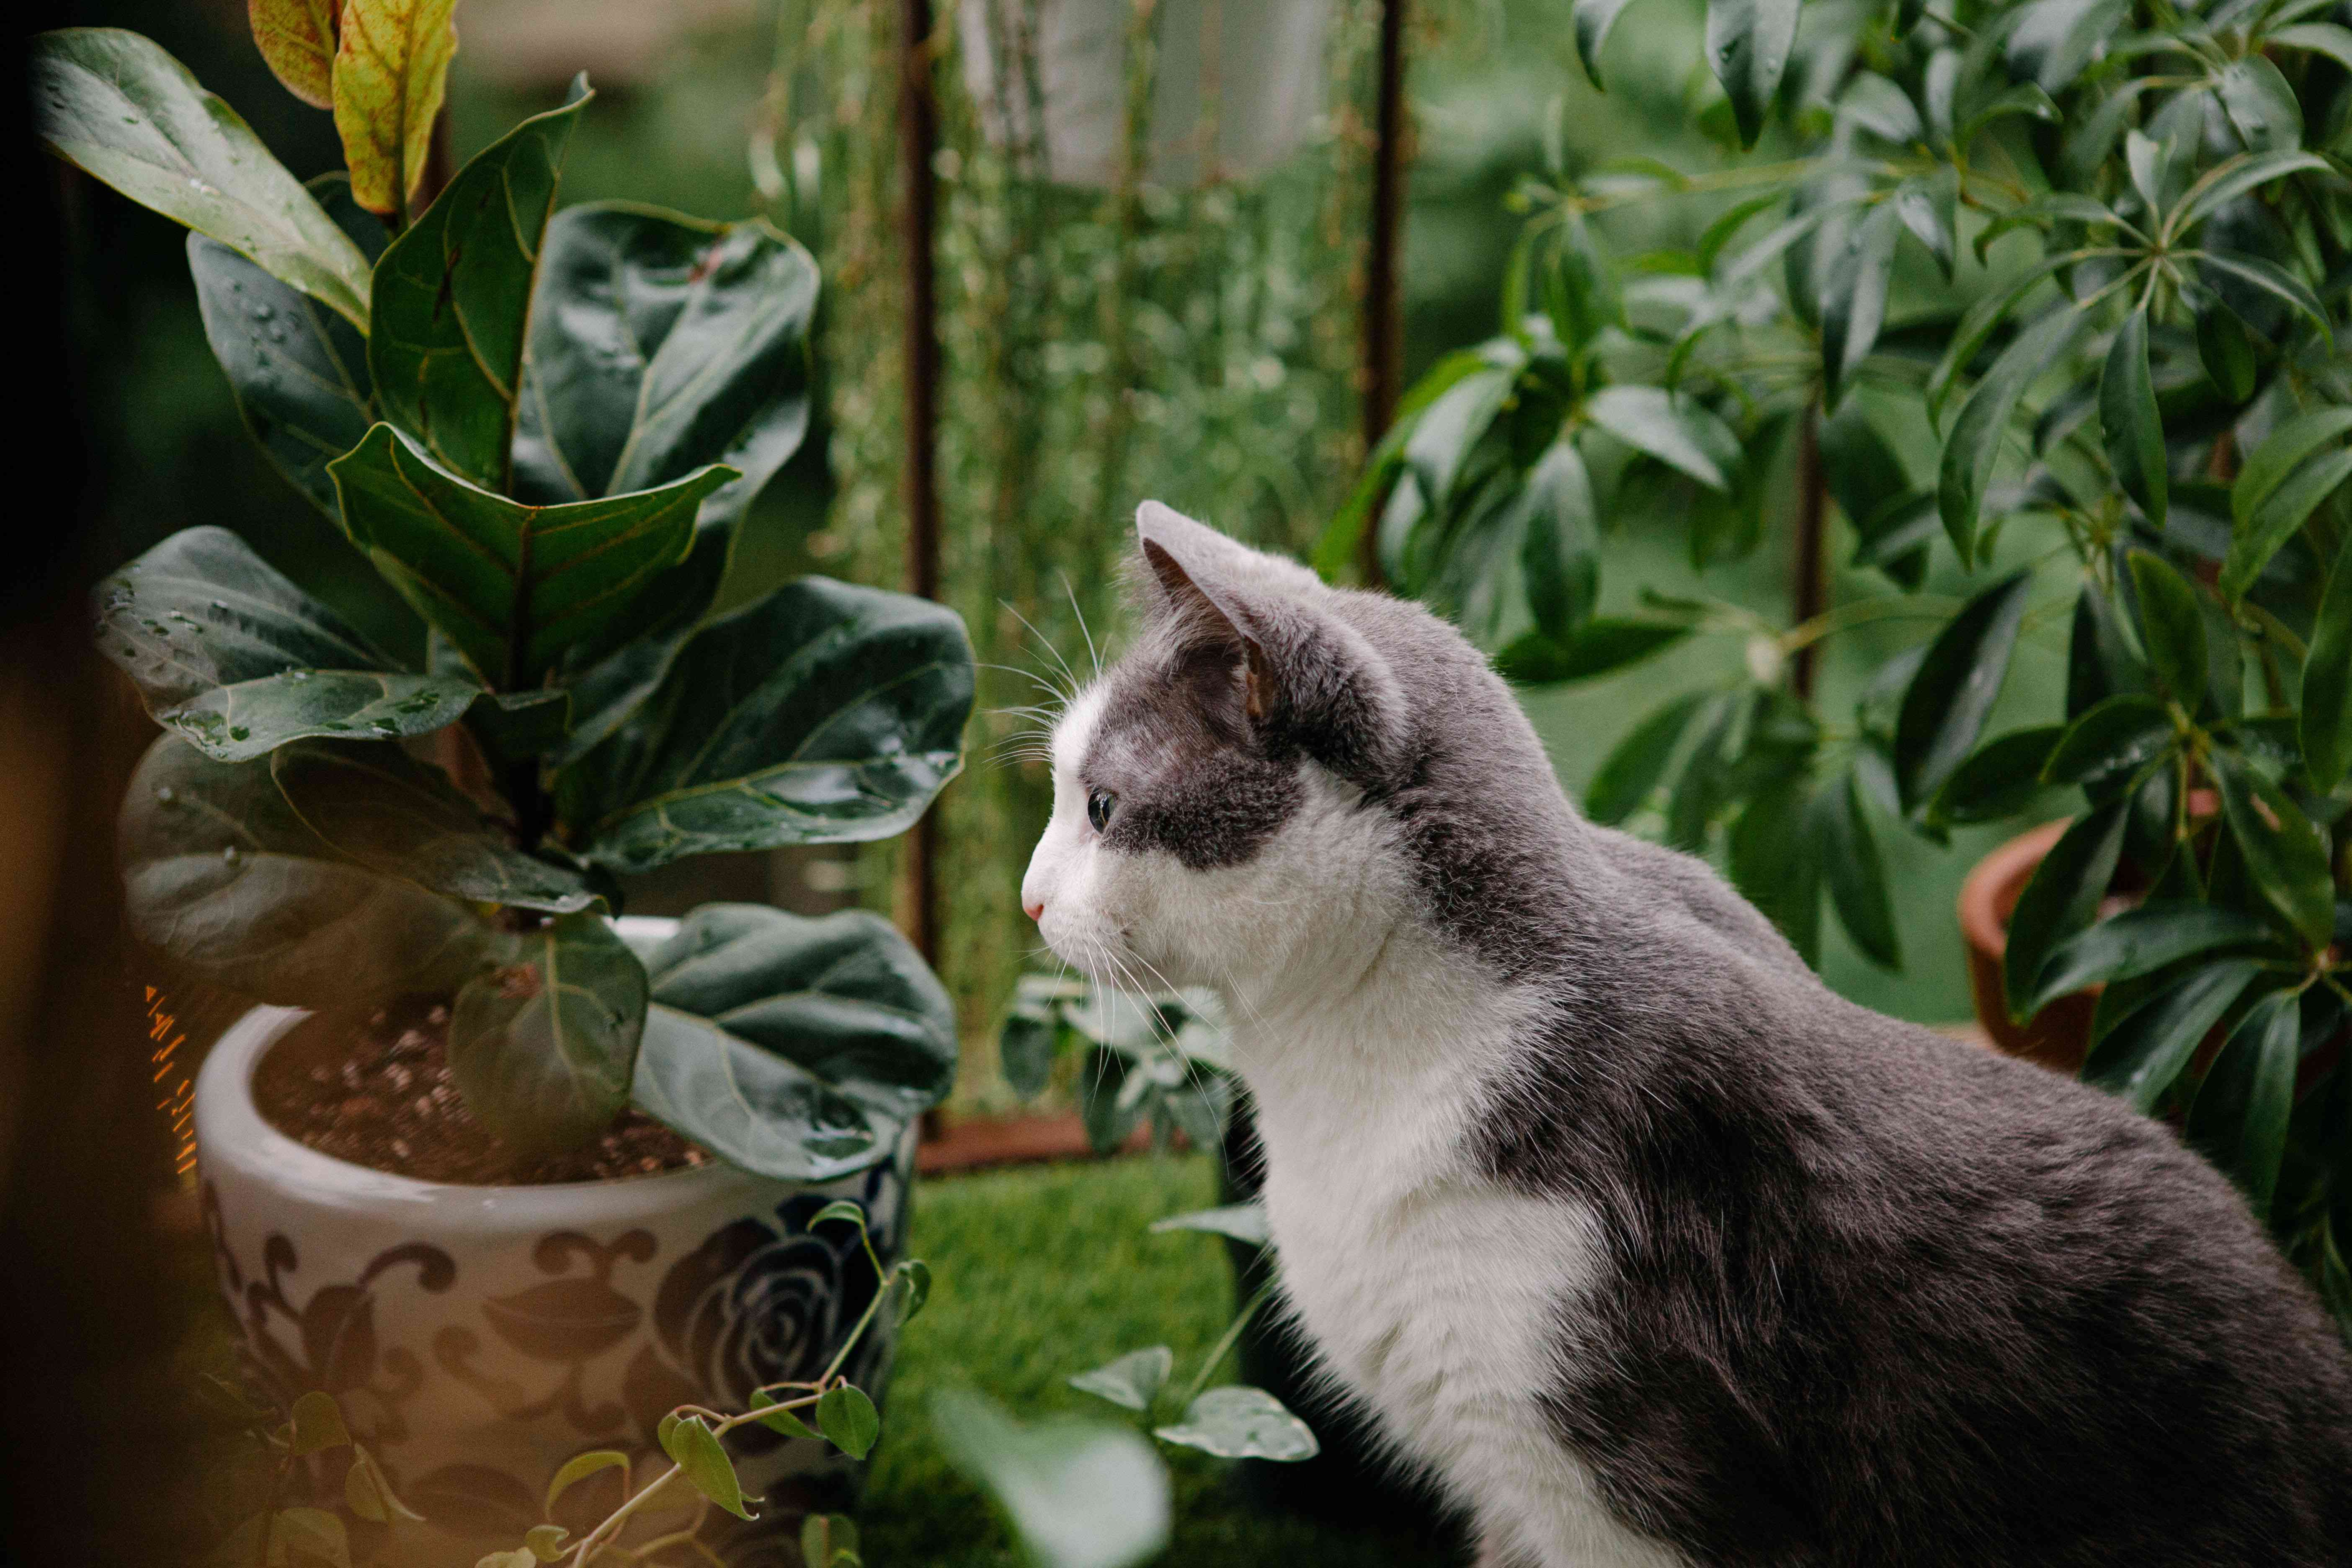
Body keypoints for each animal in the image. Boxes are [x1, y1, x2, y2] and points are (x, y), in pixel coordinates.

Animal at [1021, 505, 2352, 1568]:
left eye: (1103, 806)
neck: (1332, 1078)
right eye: (1060, 789)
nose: (1030, 899)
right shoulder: (1505, 1492)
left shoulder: (1625, 1475)